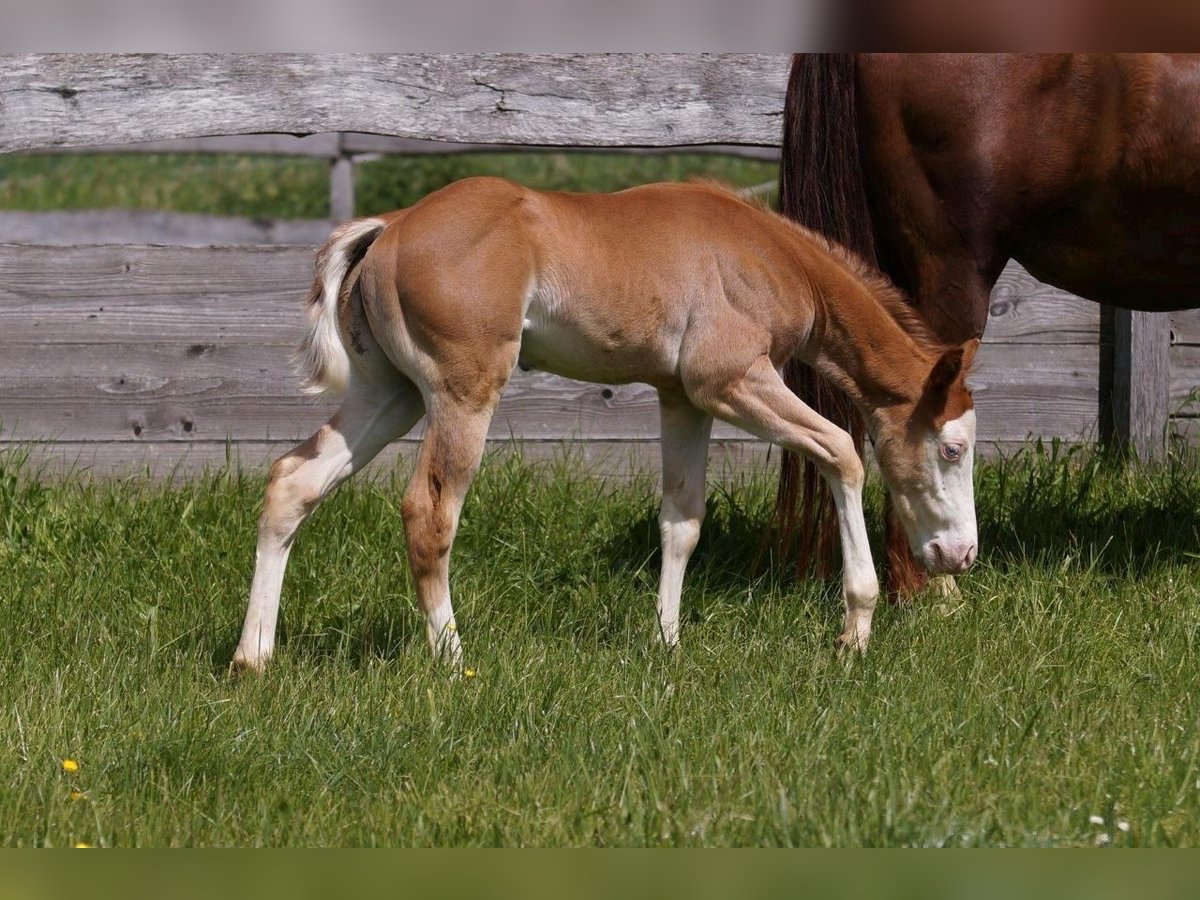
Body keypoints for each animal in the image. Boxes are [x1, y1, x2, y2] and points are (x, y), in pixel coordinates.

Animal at [231, 176, 974, 672]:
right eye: (952, 448)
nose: (961, 554)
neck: (765, 252)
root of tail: (393, 225)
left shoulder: (683, 398)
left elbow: (682, 521)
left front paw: (667, 643)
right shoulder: (729, 382)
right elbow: (842, 452)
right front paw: (856, 629)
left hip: (390, 395)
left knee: (292, 481)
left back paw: (252, 658)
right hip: (462, 394)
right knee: (429, 512)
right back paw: (453, 660)